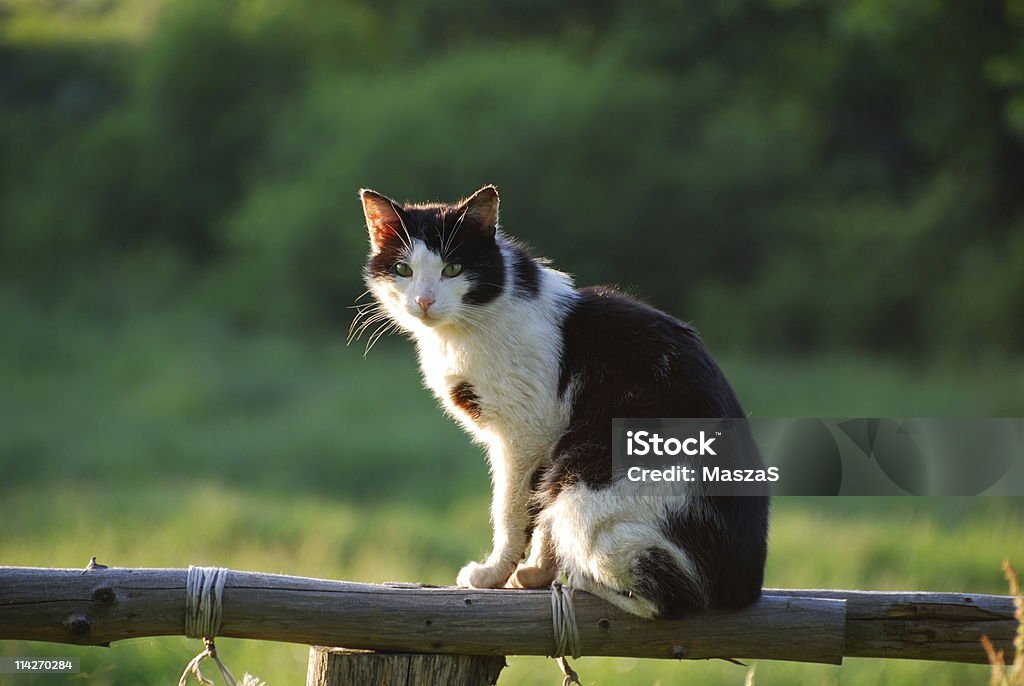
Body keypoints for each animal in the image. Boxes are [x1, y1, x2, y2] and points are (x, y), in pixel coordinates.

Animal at [360, 185, 770, 622]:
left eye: (452, 268)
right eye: (403, 270)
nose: (423, 301)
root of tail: (744, 586)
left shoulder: (527, 432)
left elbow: (513, 509)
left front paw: (494, 574)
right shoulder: (541, 441)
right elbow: (539, 514)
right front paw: (536, 573)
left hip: (586, 487)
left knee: (672, 600)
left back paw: (582, 579)